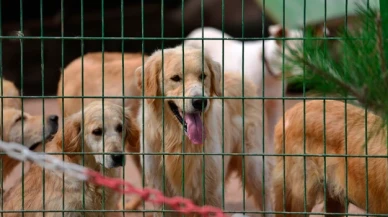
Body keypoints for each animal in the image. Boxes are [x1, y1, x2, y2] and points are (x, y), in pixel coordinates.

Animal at [135, 45, 274, 216]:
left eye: (203, 76)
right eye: (176, 78)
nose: (199, 101)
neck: (179, 142)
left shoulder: (210, 192)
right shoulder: (161, 192)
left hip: (254, 166)